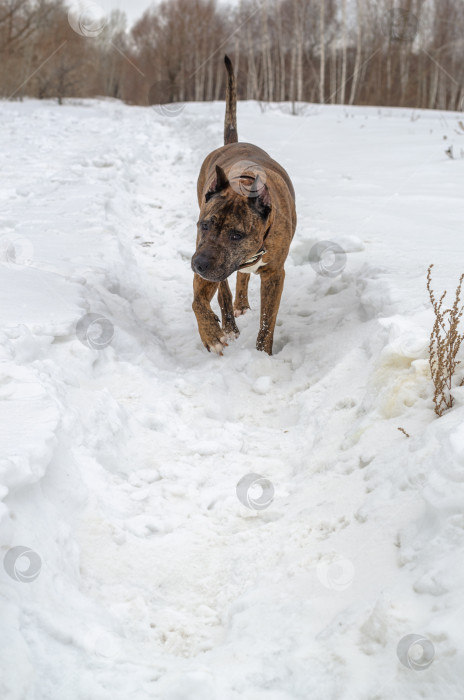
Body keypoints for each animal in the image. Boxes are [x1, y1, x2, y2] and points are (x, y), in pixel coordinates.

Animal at [190, 54, 296, 356]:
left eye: (236, 235)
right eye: (204, 225)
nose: (198, 264)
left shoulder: (274, 274)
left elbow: (267, 322)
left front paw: (262, 355)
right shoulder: (205, 260)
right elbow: (198, 301)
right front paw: (212, 334)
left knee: (240, 279)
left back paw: (240, 305)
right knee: (224, 289)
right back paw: (228, 323)